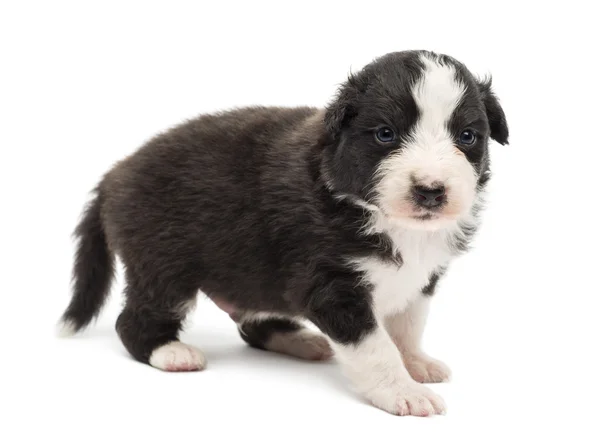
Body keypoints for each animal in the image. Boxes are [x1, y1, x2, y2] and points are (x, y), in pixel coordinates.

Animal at [61, 50, 508, 418]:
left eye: (467, 136)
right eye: (386, 134)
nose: (431, 190)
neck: (386, 219)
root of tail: (114, 175)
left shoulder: (421, 279)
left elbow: (406, 326)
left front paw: (415, 362)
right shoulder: (330, 286)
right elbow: (375, 345)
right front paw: (402, 390)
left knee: (252, 322)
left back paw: (300, 340)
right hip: (162, 265)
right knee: (133, 320)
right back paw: (171, 352)